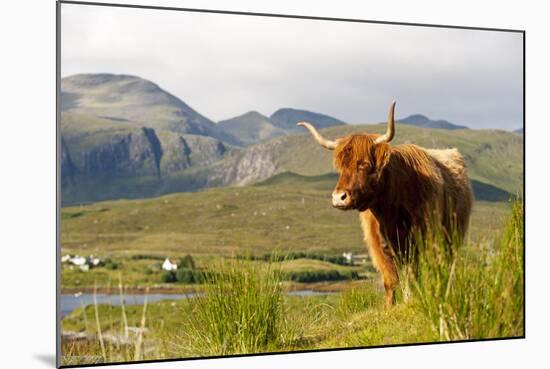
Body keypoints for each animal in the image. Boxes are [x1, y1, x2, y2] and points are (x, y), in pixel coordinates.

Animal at [298, 100, 474, 304]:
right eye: (340, 167)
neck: (390, 211)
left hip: (452, 239)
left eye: (364, 164)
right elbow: (390, 282)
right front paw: (390, 306)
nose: (339, 197)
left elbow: (415, 277)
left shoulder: (420, 242)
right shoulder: (379, 247)